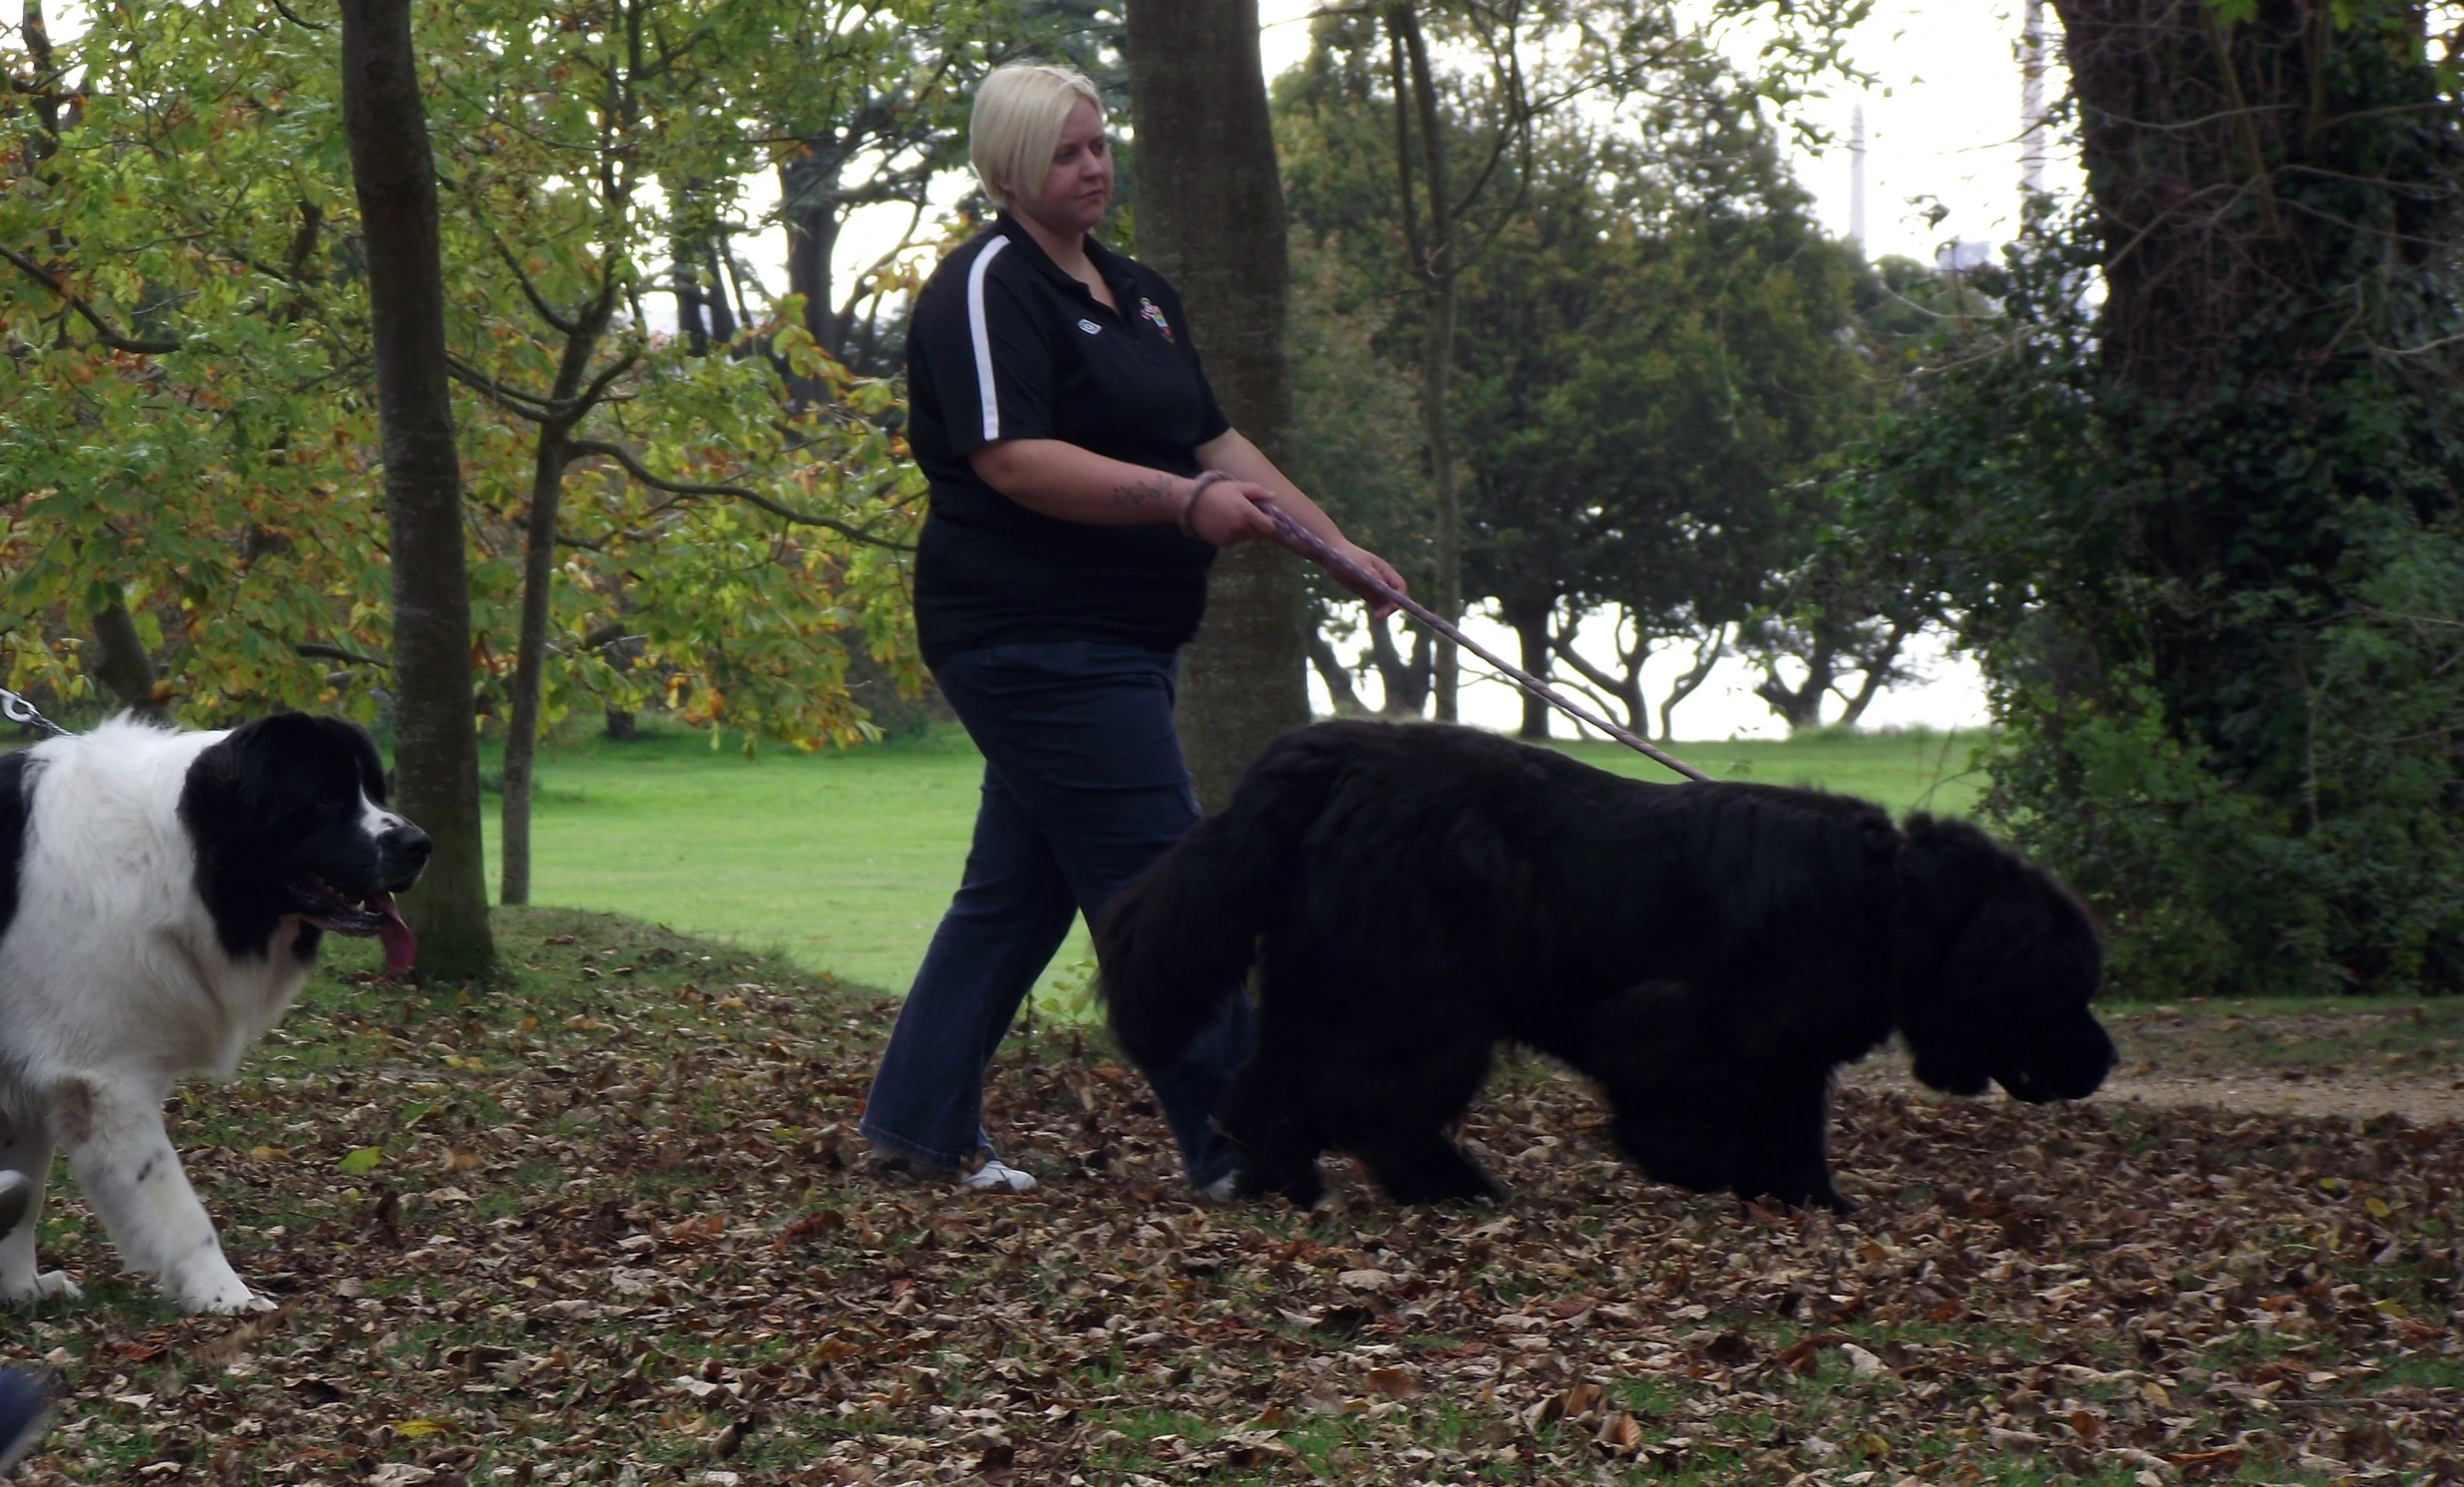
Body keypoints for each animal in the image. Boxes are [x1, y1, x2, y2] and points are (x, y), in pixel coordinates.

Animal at [0, 715, 431, 1311]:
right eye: (326, 798)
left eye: (374, 790)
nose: (420, 845)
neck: (177, 859)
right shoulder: (106, 1079)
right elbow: (177, 1207)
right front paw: (227, 1296)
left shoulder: (33, 1067)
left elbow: (25, 1190)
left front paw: (21, 1290)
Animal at [1099, 724, 2119, 1218]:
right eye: (2064, 988)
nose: (2105, 1060)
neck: (1891, 902)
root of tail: (1324, 757)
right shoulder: (1684, 1021)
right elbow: (1687, 1105)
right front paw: (1697, 1167)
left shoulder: (1789, 1056)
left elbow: (1793, 1129)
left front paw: (1815, 1202)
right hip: (1418, 1001)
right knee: (1373, 1104)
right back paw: (1449, 1186)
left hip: (1333, 984)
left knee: (1269, 1088)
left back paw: (1286, 1181)